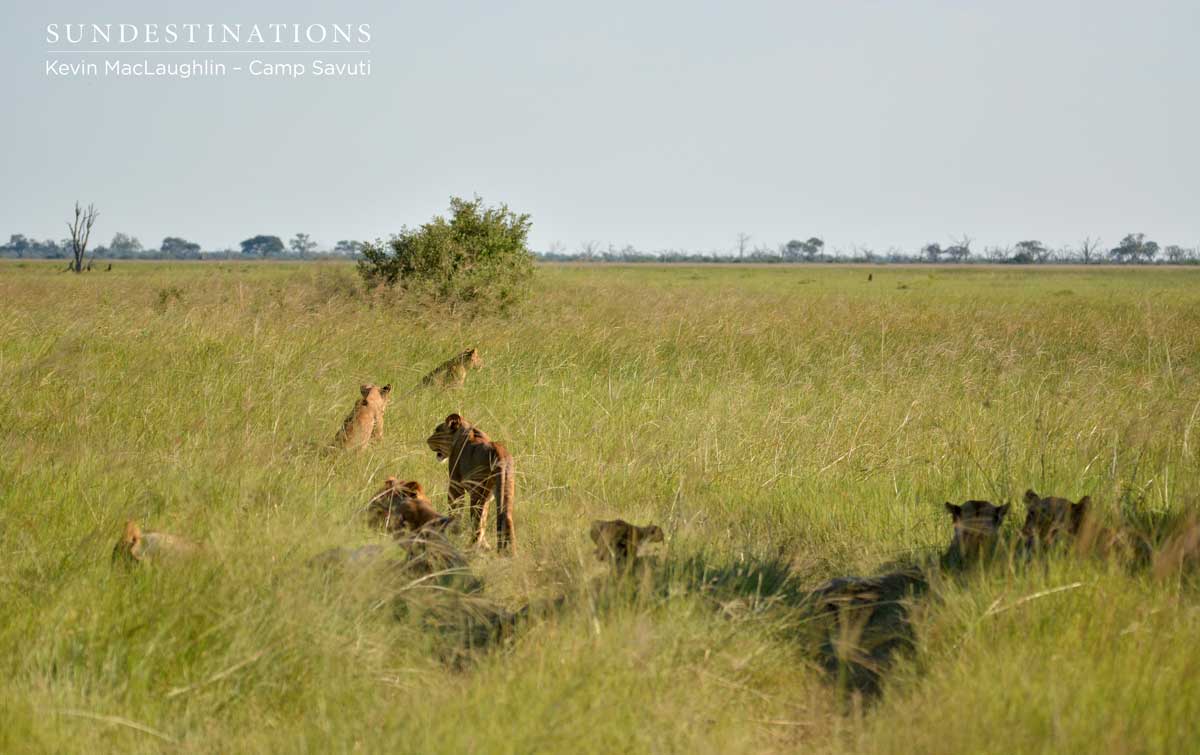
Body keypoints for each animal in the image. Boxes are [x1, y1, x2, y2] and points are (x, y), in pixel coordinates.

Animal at [424, 415, 513, 549]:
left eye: (437, 430)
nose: (427, 440)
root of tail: (498, 450)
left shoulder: (455, 484)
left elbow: (455, 510)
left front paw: (453, 534)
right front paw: (485, 545)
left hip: (477, 494)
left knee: (477, 521)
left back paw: (472, 547)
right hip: (505, 490)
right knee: (505, 518)